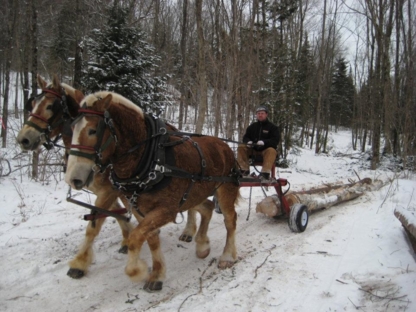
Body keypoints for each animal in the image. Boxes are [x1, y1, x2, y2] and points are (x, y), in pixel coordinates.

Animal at [16, 75, 203, 282]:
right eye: (33, 104)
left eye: (50, 106)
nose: (23, 139)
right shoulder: (111, 190)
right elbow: (114, 214)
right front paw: (126, 238)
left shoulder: (109, 190)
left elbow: (94, 225)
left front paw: (80, 263)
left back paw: (188, 231)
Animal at [66, 91, 240, 292]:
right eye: (72, 128)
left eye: (93, 130)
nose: (73, 178)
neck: (150, 158)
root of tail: (224, 144)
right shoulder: (140, 209)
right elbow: (150, 239)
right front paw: (156, 275)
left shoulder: (166, 210)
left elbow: (135, 238)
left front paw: (137, 270)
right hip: (195, 194)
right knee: (208, 207)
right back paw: (202, 246)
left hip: (225, 190)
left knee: (230, 220)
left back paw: (227, 256)